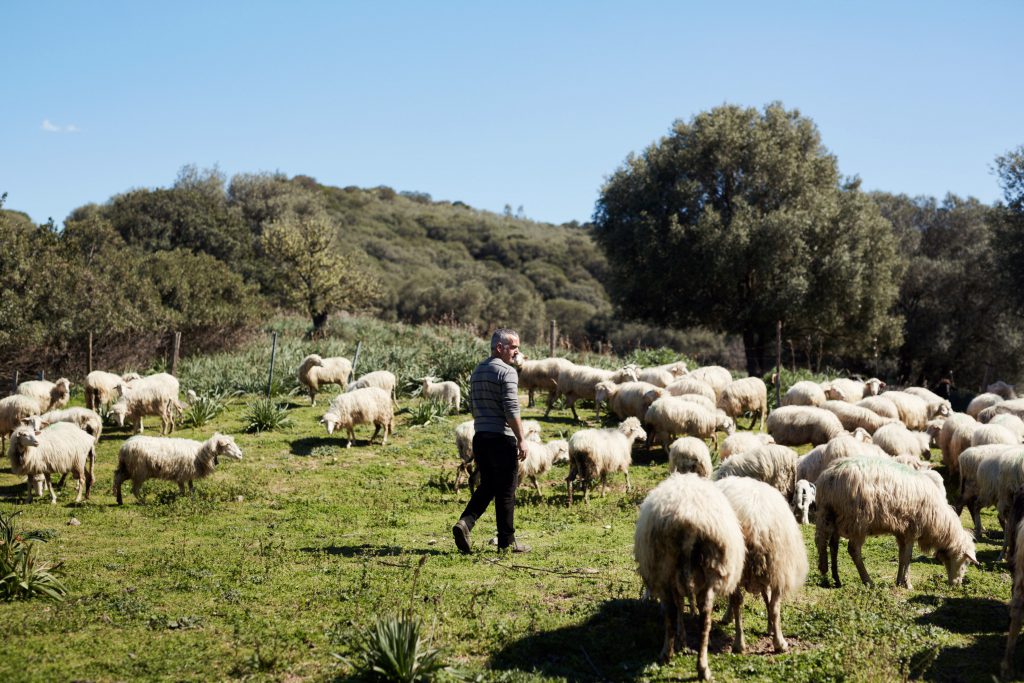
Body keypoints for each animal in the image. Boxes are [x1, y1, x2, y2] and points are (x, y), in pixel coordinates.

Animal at [113, 432, 243, 504]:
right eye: (227, 445)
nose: (241, 455)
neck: (200, 453)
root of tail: (124, 447)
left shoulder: (188, 473)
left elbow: (191, 488)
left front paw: (192, 498)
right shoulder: (182, 474)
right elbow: (183, 490)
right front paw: (182, 499)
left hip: (127, 469)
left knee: (118, 478)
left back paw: (119, 500)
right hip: (139, 471)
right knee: (134, 489)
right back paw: (142, 501)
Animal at [634, 473, 745, 678]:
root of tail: (688, 521)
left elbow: (678, 606)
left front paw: (681, 637)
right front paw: (682, 638)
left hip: (664, 569)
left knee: (671, 611)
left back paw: (667, 654)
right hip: (710, 569)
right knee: (704, 619)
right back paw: (702, 667)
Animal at [715, 476, 808, 654]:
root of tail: (756, 523)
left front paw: (726, 617)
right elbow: (766, 596)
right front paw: (770, 627)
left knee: (738, 601)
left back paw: (739, 643)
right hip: (779, 565)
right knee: (774, 606)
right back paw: (779, 643)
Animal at [815, 455, 977, 589]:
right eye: (966, 562)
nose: (957, 584)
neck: (940, 522)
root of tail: (829, 476)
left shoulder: (901, 531)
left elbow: (901, 556)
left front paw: (899, 581)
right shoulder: (913, 528)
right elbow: (908, 556)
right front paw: (908, 583)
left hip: (833, 516)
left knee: (832, 546)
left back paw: (836, 579)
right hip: (857, 520)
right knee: (853, 550)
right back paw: (868, 581)